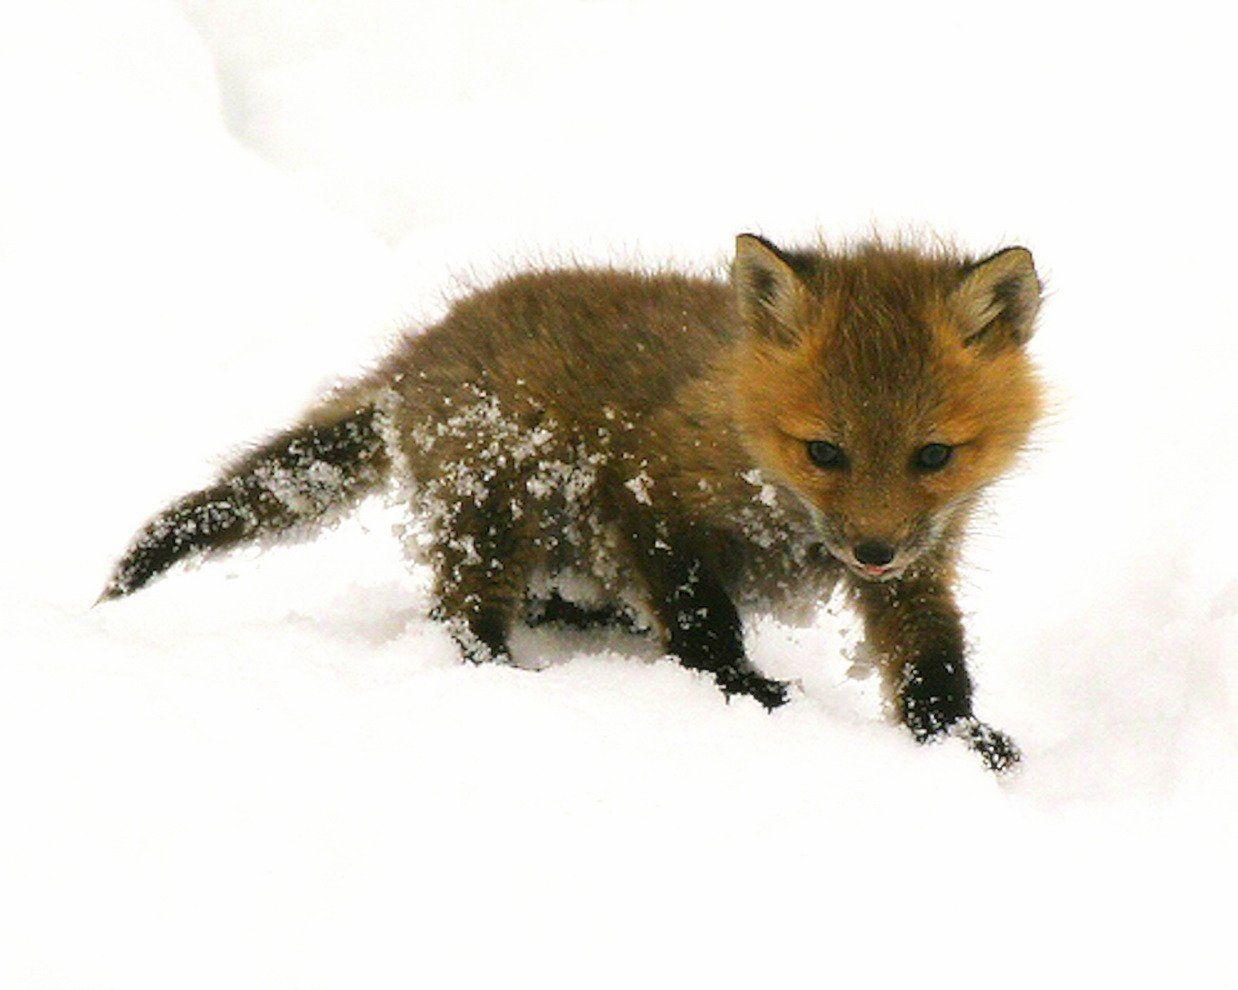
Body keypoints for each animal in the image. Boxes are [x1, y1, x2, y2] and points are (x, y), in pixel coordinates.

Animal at [101, 233, 1039, 772]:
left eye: (933, 455)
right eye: (825, 452)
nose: (872, 550)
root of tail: (417, 354)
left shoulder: (920, 562)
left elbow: (933, 664)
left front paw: (958, 743)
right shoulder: (650, 498)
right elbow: (705, 625)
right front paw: (748, 694)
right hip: (494, 509)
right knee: (461, 617)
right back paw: (512, 674)